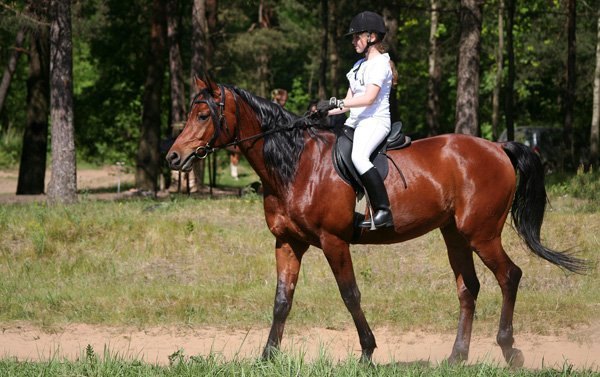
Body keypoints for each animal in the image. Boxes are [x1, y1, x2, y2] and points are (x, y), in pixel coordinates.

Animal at [168, 75, 584, 364]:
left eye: (203, 115)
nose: (173, 158)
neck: (296, 164)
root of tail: (498, 147)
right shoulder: (288, 242)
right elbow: (282, 299)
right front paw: (267, 357)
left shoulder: (333, 241)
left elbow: (350, 295)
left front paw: (367, 352)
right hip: (454, 234)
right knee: (469, 288)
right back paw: (457, 357)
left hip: (481, 233)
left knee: (509, 276)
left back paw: (509, 349)